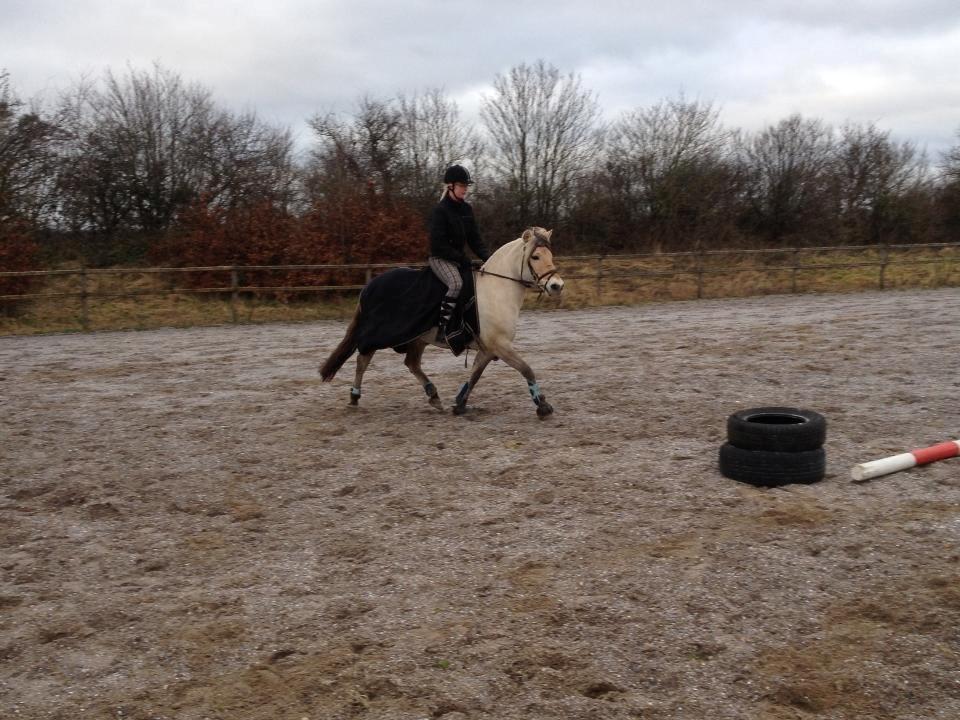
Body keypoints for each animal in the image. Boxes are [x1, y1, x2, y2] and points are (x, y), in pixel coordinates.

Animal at [318, 225, 568, 416]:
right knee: (363, 360)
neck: (497, 289)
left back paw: (434, 395)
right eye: (535, 256)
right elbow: (526, 369)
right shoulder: (500, 345)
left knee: (412, 363)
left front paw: (460, 404)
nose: (557, 286)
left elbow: (475, 375)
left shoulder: (488, 349)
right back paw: (354, 396)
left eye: (550, 255)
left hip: (418, 338)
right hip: (379, 335)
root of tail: (370, 286)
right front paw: (543, 406)